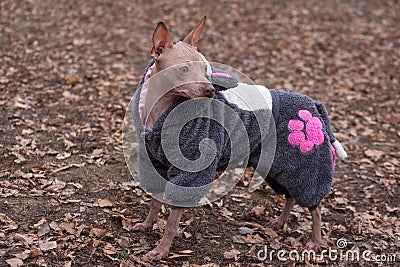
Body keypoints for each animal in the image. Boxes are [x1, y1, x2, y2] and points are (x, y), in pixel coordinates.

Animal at [131, 16, 346, 260]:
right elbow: (155, 203)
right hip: (280, 165)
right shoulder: (154, 164)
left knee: (315, 207)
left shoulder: (191, 173)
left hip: (304, 163)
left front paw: (161, 249)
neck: (159, 110)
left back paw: (316, 241)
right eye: (183, 69)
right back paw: (280, 221)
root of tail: (313, 104)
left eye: (205, 68)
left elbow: (171, 223)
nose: (210, 89)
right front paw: (148, 224)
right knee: (291, 195)